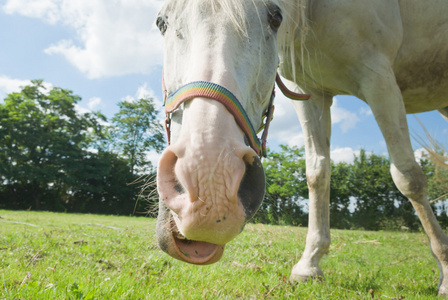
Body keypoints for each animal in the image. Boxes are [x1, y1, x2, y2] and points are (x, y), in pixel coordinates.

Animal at [155, 0, 448, 296]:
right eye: (161, 23)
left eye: (275, 18)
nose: (211, 185)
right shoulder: (311, 92)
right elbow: (317, 174)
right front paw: (309, 264)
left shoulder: (378, 77)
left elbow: (408, 177)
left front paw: (445, 273)